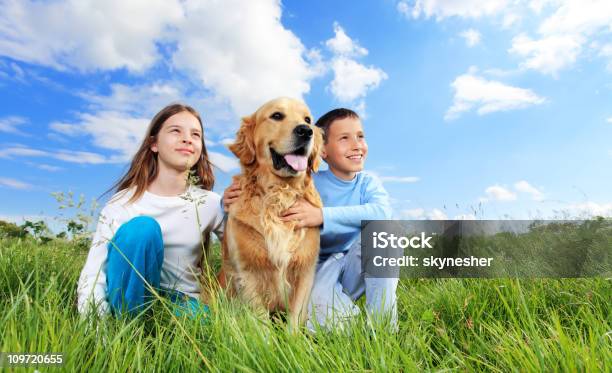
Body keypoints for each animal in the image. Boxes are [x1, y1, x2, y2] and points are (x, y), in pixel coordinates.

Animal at [220, 96, 326, 328]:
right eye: (277, 115)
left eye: (308, 119)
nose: (306, 131)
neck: (280, 193)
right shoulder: (247, 271)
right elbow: (261, 322)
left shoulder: (305, 270)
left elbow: (295, 319)